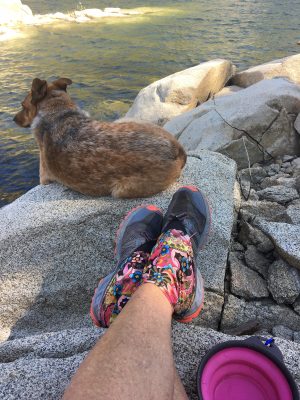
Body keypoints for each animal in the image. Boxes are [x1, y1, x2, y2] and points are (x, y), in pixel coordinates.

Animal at [14, 77, 188, 198]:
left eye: (23, 105)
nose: (13, 119)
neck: (59, 112)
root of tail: (178, 149)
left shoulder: (44, 176)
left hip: (120, 191)